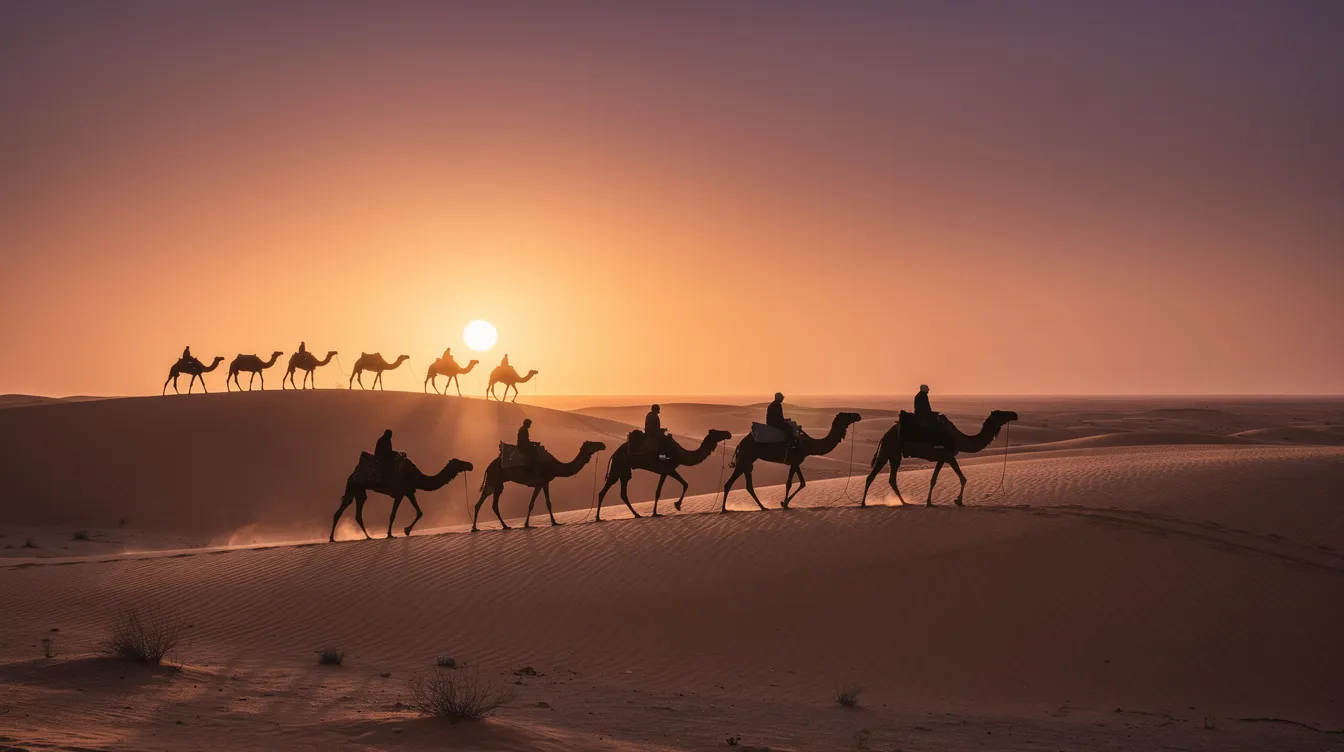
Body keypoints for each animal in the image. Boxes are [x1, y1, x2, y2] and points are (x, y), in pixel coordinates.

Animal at [330, 456, 473, 541]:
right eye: (459, 462)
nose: (470, 465)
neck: (416, 477)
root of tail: (352, 474)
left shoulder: (409, 492)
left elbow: (420, 512)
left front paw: (406, 530)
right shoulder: (400, 493)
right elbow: (393, 514)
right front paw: (391, 534)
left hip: (359, 491)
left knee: (355, 513)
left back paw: (367, 537)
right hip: (354, 486)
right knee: (343, 510)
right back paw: (332, 538)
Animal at [472, 441, 606, 531]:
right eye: (592, 443)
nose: (602, 444)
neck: (555, 466)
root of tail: (488, 467)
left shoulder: (545, 483)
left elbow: (548, 503)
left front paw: (554, 522)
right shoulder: (539, 482)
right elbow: (532, 504)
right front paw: (527, 524)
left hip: (498, 484)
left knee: (493, 505)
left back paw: (505, 526)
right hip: (492, 480)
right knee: (481, 502)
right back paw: (474, 528)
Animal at [596, 429, 732, 519]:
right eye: (717, 432)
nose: (728, 433)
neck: (680, 454)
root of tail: (614, 454)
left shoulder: (669, 470)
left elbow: (685, 484)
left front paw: (677, 505)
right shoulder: (667, 470)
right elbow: (659, 491)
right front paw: (659, 511)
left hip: (624, 472)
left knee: (621, 493)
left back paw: (636, 514)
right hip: (618, 468)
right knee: (605, 491)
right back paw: (598, 518)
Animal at [721, 412, 862, 512]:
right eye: (847, 414)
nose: (858, 415)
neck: (808, 445)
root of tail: (740, 444)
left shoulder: (796, 462)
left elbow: (802, 483)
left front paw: (785, 503)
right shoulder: (794, 461)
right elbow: (789, 483)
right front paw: (784, 504)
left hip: (746, 461)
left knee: (740, 485)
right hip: (746, 458)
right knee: (739, 484)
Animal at [862, 410, 1018, 507]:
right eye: (1001, 413)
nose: (1014, 414)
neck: (958, 438)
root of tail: (884, 435)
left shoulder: (946, 458)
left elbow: (958, 478)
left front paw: (957, 501)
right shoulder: (946, 456)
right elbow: (938, 479)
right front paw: (931, 503)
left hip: (895, 455)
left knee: (892, 479)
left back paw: (904, 502)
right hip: (887, 449)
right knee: (871, 476)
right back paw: (863, 504)